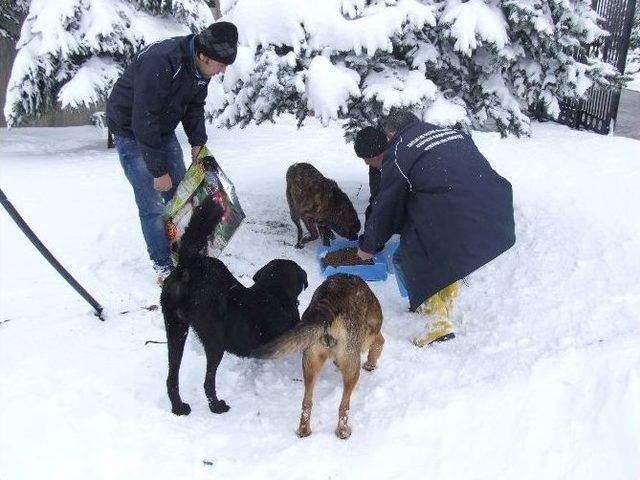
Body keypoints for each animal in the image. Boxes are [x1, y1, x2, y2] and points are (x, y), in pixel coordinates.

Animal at [161, 200, 308, 416]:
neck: (272, 291)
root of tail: (188, 266)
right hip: (214, 340)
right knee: (207, 382)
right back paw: (216, 406)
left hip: (175, 328)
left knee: (172, 377)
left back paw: (178, 407)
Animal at [254, 274, 384, 438]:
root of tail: (330, 303)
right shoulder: (371, 334)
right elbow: (378, 343)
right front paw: (370, 364)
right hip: (351, 367)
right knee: (344, 405)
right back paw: (343, 431)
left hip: (310, 362)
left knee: (307, 402)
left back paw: (304, 429)